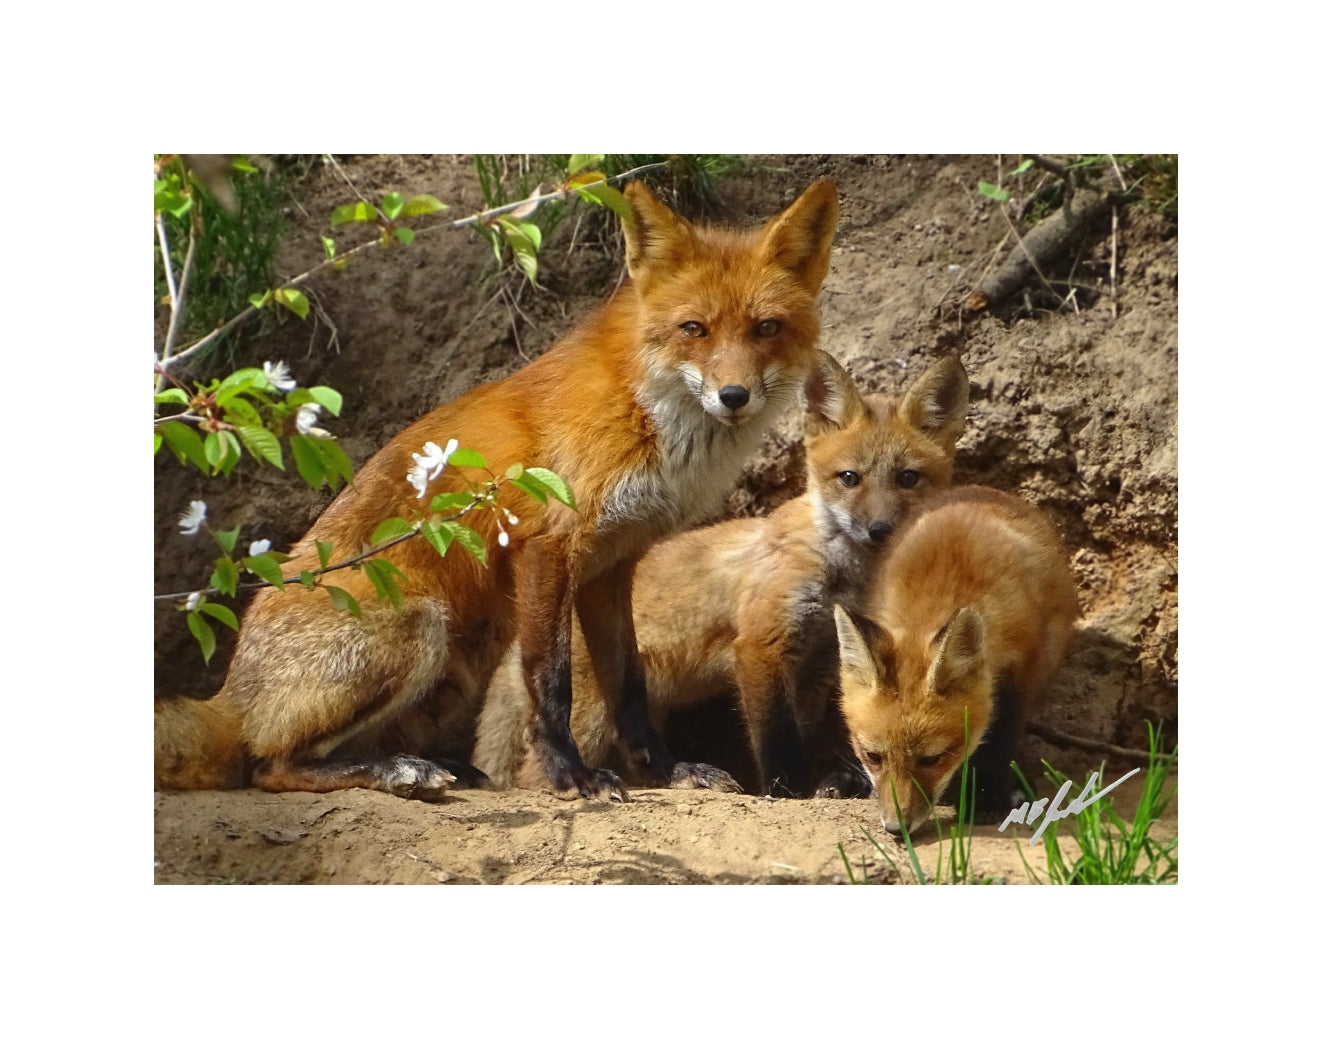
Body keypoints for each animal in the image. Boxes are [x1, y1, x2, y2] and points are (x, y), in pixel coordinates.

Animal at [154, 177, 841, 802]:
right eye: (694, 329)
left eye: (767, 328)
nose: (734, 395)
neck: (647, 413)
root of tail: (229, 695)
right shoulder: (547, 546)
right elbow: (550, 679)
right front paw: (572, 778)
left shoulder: (611, 565)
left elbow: (627, 684)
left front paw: (664, 774)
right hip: (418, 628)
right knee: (267, 766)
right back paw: (397, 773)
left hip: (458, 664)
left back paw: (444, 768)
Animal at [472, 350, 971, 797]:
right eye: (850, 478)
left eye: (908, 479)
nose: (880, 530)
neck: (837, 576)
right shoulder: (760, 644)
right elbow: (776, 743)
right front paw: (787, 792)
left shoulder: (817, 663)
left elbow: (800, 735)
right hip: (592, 716)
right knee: (531, 777)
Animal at [832, 484, 1080, 834]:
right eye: (873, 756)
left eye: (932, 759)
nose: (897, 828)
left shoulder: (1024, 664)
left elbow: (1003, 733)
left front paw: (986, 794)